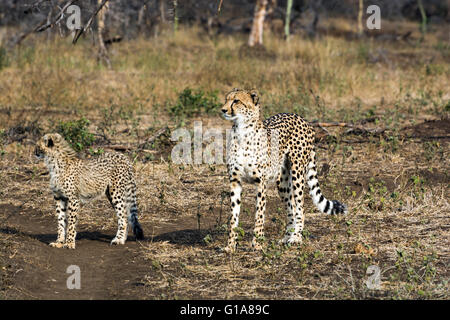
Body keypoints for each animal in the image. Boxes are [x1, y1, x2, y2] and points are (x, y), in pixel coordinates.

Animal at [221, 88, 348, 252]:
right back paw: (287, 237)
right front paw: (230, 246)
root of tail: (301, 118)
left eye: (236, 101)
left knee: (300, 208)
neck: (241, 131)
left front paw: (258, 244)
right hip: (282, 182)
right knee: (291, 208)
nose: (223, 109)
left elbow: (259, 214)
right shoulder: (235, 181)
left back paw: (296, 238)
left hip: (297, 172)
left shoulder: (261, 183)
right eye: (226, 99)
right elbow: (234, 216)